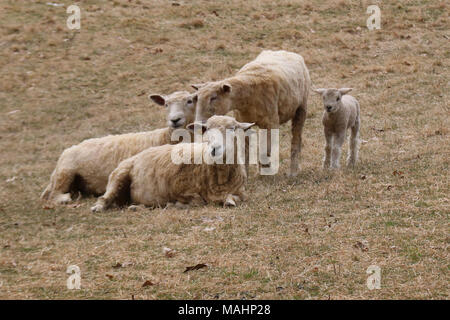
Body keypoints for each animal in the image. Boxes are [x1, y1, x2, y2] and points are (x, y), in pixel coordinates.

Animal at [41, 91, 196, 204]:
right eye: (166, 104)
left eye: (189, 101)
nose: (174, 120)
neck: (164, 137)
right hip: (65, 172)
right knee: (54, 195)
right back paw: (65, 199)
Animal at [89, 115, 255, 212]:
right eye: (206, 129)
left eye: (232, 128)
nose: (214, 148)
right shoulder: (178, 189)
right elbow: (197, 201)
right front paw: (176, 205)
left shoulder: (242, 192)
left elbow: (236, 198)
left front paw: (229, 200)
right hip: (118, 175)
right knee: (104, 198)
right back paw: (98, 207)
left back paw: (137, 207)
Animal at [190, 48, 310, 176]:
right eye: (196, 98)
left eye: (214, 98)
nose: (199, 123)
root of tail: (284, 51)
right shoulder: (242, 122)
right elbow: (244, 151)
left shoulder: (271, 123)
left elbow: (265, 150)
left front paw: (265, 172)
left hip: (301, 108)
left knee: (296, 139)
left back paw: (293, 171)